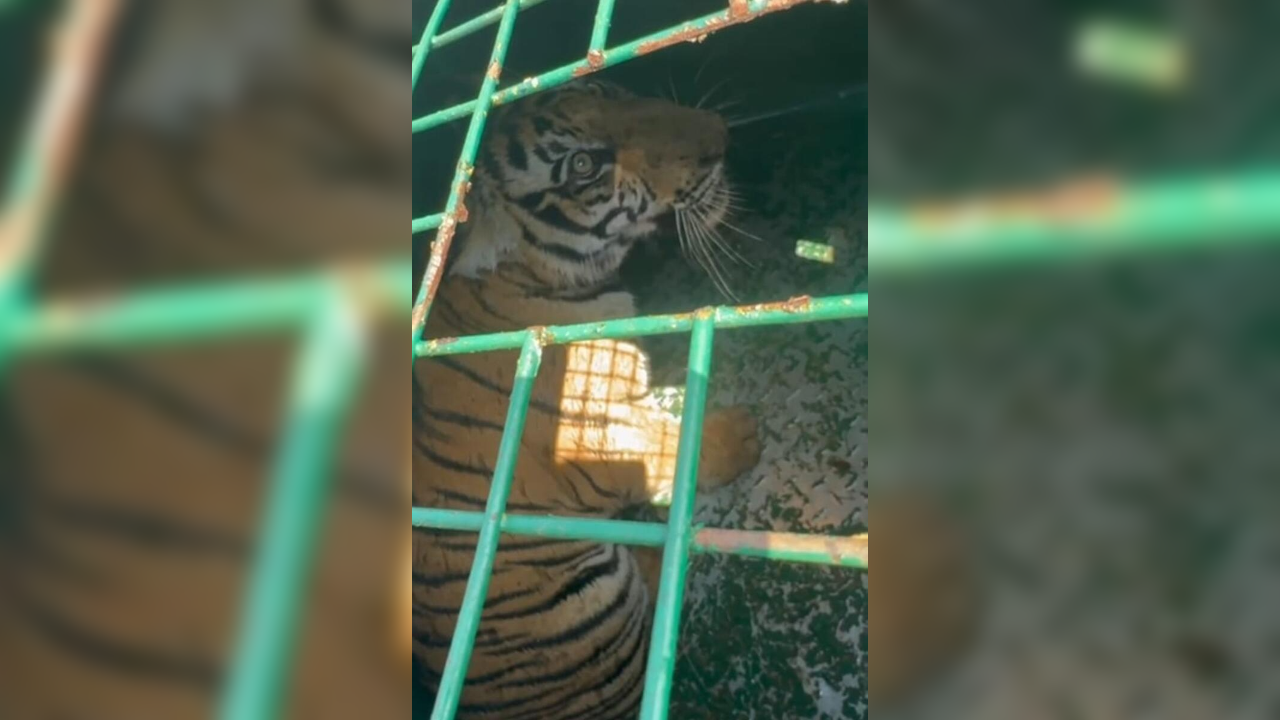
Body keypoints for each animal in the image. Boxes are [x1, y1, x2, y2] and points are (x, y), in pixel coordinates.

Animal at [412, 78, 763, 718]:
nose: (719, 139)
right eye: (583, 166)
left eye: (611, 90)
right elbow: (663, 443)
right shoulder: (589, 441)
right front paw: (736, 434)